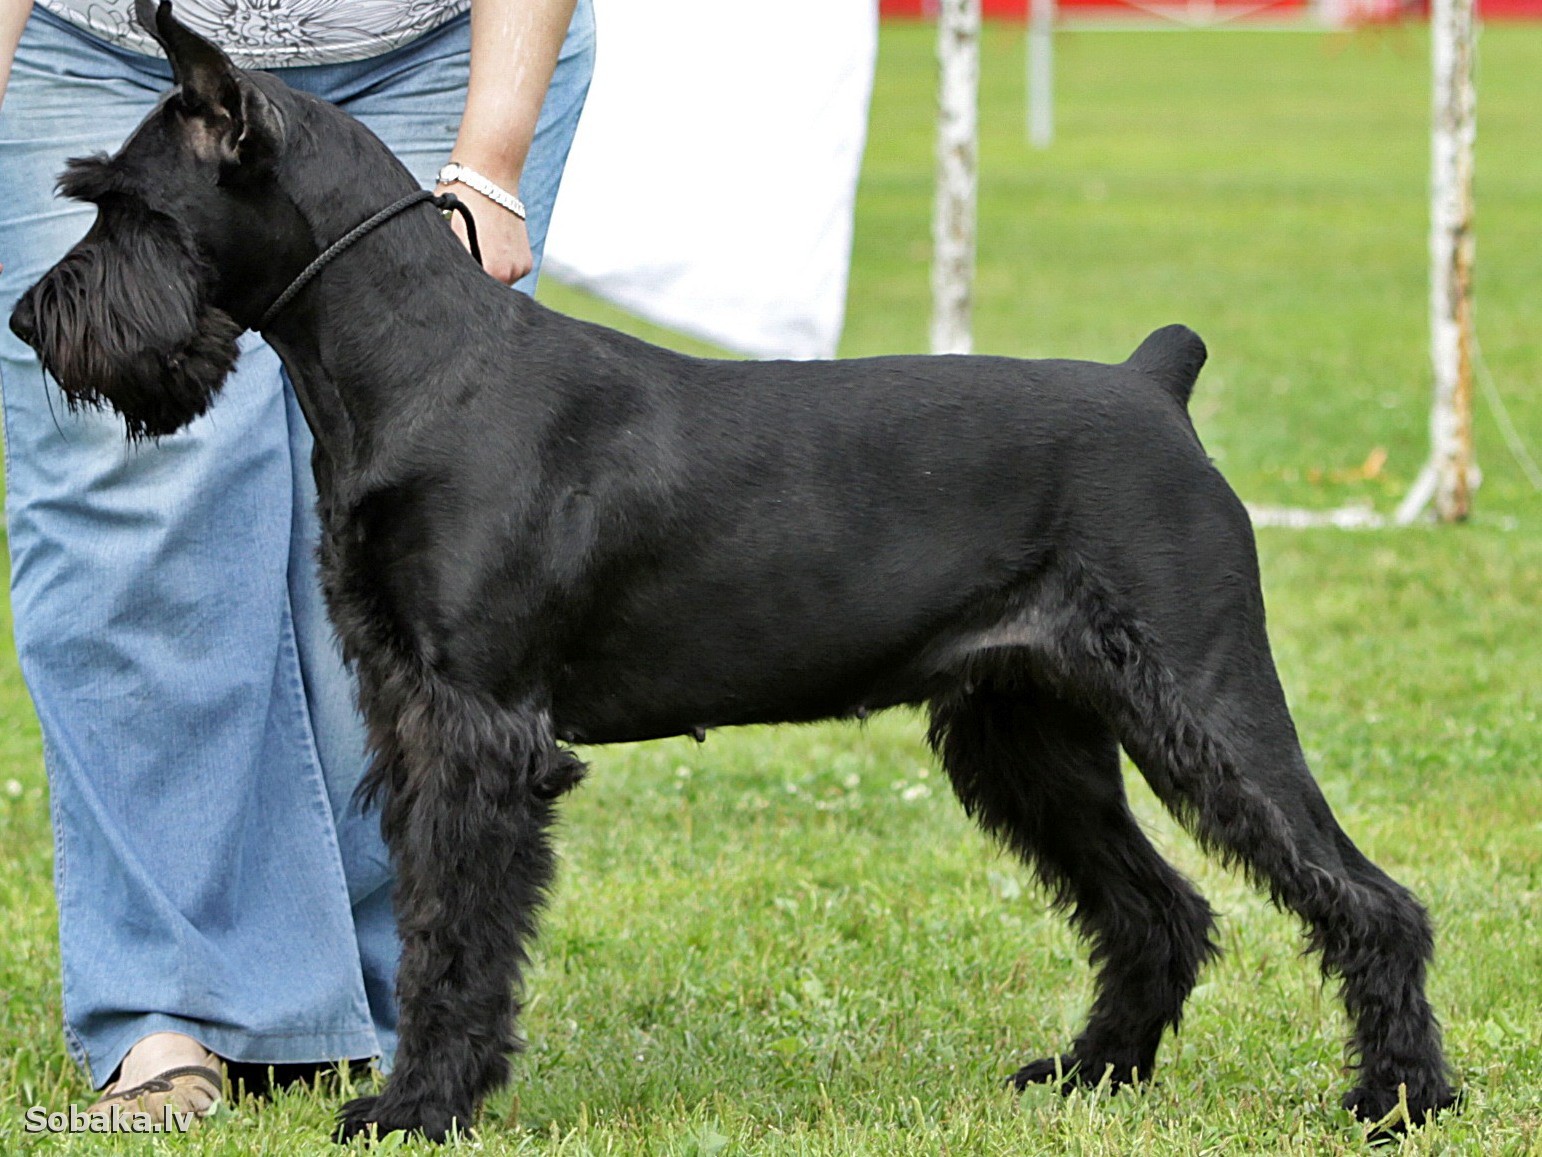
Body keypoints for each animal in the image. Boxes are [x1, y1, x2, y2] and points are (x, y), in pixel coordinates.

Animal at [15, 0, 1455, 1141]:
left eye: (123, 202)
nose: (33, 320)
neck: (417, 363)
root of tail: (1156, 384)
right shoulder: (411, 715)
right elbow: (429, 912)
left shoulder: (482, 731)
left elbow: (458, 933)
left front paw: (420, 1104)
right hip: (1027, 733)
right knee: (1157, 906)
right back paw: (1094, 1071)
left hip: (1203, 700)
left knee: (1365, 898)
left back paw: (1399, 1096)